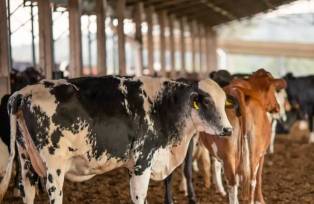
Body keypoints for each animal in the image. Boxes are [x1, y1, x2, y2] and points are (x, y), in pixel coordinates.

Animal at [0, 76, 231, 204]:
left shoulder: (133, 166)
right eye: (206, 102)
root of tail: (24, 91)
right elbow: (139, 196)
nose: (228, 129)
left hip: (26, 161)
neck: (163, 105)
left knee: (27, 191)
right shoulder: (142, 161)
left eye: (223, 102)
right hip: (54, 168)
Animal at [200, 69, 286, 203]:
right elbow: (259, 178)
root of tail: (237, 92)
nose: (277, 107)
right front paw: (260, 200)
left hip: (228, 154)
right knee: (249, 181)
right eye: (273, 89)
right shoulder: (262, 154)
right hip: (252, 154)